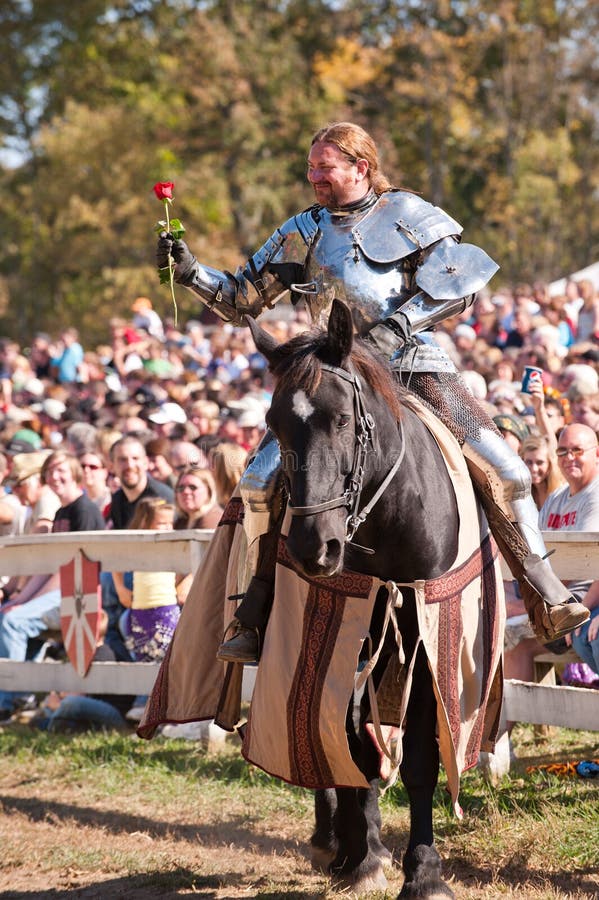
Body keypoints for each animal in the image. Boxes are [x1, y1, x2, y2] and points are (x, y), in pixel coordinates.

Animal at [246, 302, 500, 900]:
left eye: (341, 419)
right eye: (273, 423)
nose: (315, 547)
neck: (389, 516)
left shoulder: (426, 635)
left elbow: (421, 758)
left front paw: (423, 872)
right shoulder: (349, 625)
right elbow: (347, 736)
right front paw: (362, 856)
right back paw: (338, 840)